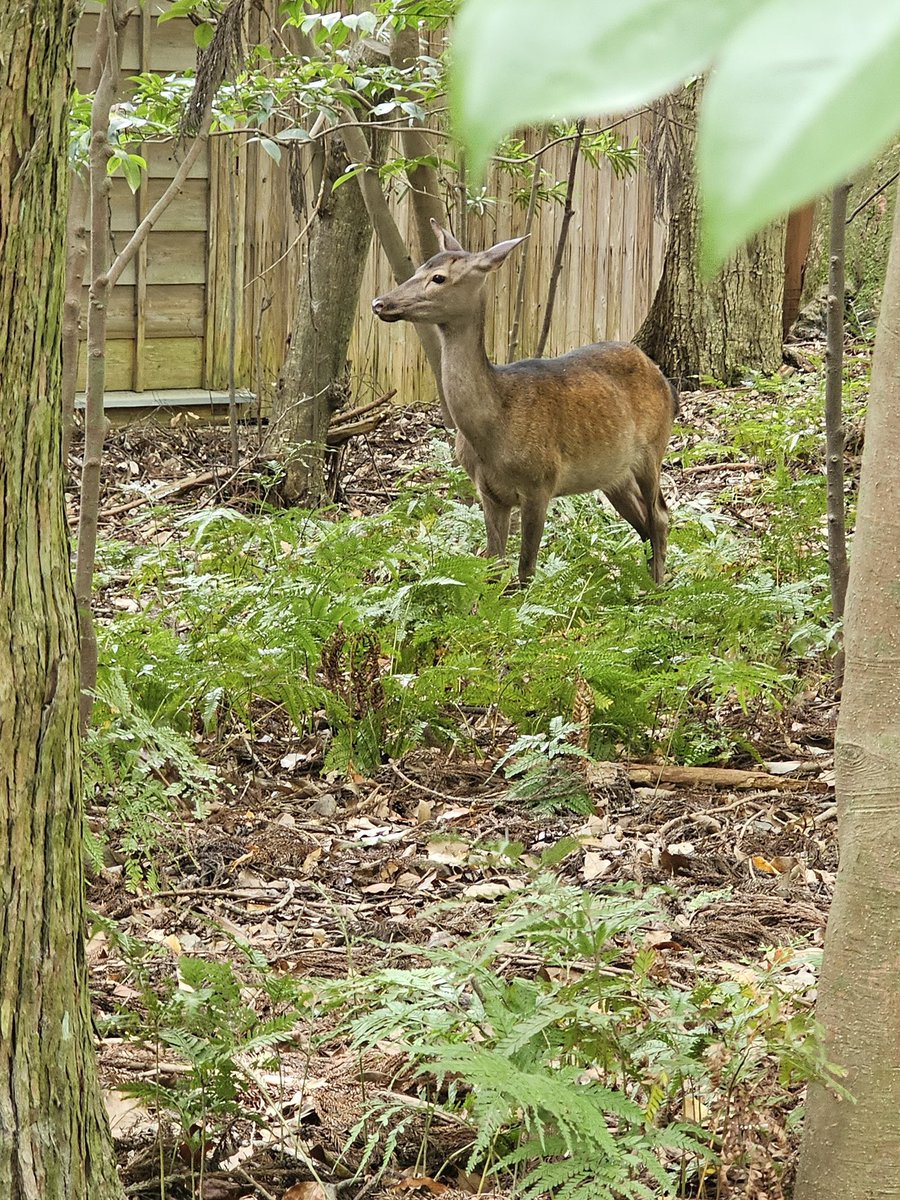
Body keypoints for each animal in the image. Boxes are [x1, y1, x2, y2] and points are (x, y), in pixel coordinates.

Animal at [372, 220, 677, 584]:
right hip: (612, 473)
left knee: (659, 515)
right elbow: (494, 564)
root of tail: (662, 377)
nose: (379, 302)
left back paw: (658, 587)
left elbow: (526, 570)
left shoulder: (540, 483)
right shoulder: (489, 493)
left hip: (653, 449)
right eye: (418, 268)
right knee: (643, 520)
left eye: (439, 278)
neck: (495, 431)